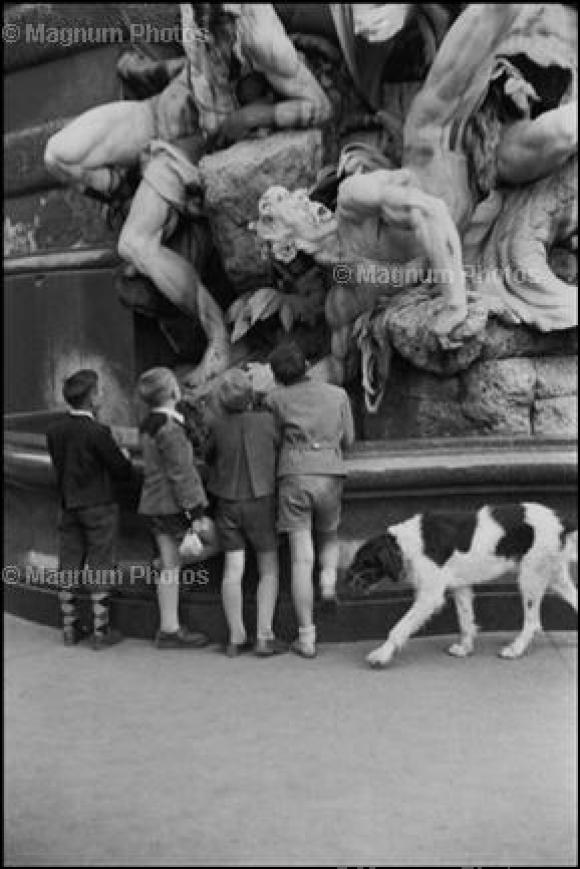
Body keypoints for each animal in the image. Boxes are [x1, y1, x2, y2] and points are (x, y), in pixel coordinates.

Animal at [346, 498, 576, 668]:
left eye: (364, 562)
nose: (346, 579)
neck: (407, 544)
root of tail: (562, 521)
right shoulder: (460, 586)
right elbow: (465, 620)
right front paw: (465, 648)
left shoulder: (430, 595)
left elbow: (399, 627)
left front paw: (381, 654)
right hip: (556, 577)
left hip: (530, 577)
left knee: (532, 622)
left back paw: (515, 649)